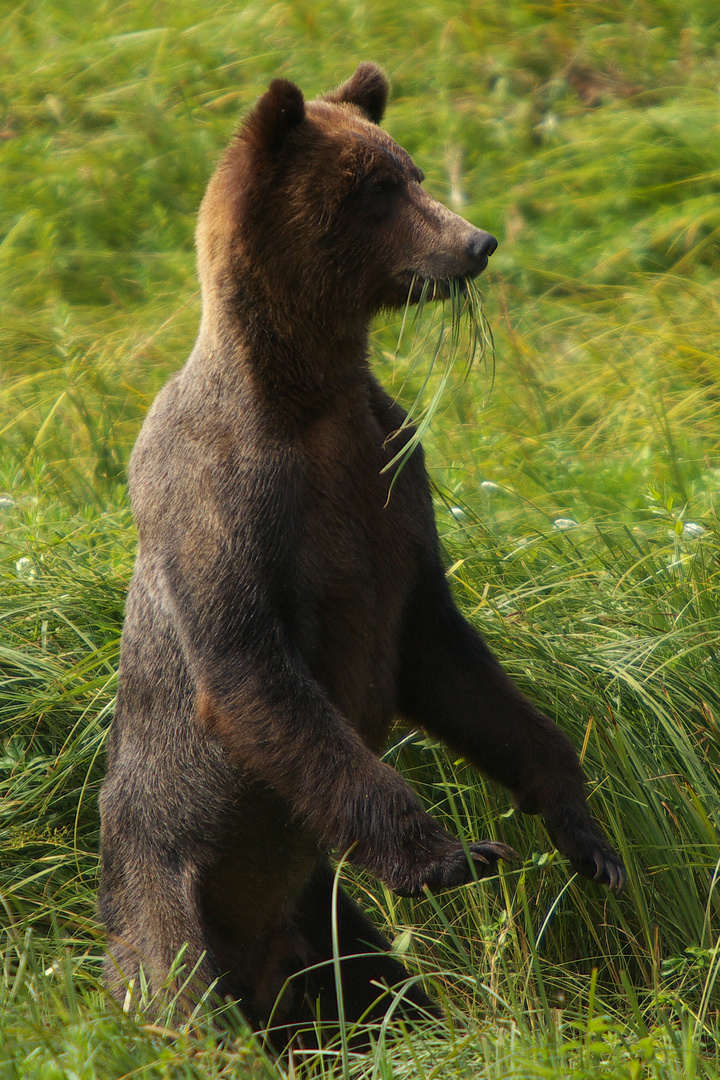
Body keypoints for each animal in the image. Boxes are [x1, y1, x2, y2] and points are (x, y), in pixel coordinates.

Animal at [97, 63, 626, 1041]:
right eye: (376, 188)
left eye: (409, 169)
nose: (476, 241)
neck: (308, 398)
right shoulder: (228, 497)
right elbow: (254, 672)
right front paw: (454, 854)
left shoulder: (392, 482)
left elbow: (451, 663)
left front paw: (583, 831)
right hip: (164, 908)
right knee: (181, 1004)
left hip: (325, 922)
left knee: (382, 988)